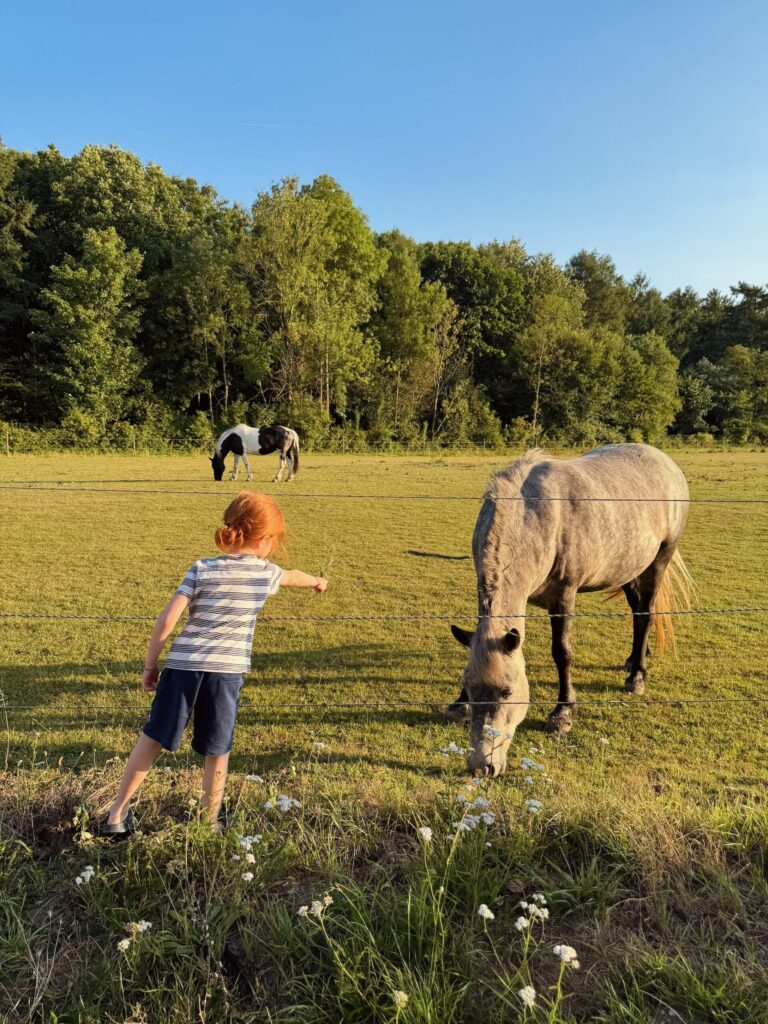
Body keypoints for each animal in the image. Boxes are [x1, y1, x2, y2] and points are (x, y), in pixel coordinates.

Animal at [448, 444, 692, 776]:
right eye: (471, 689)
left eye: (508, 692)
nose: (481, 767)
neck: (535, 516)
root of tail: (663, 459)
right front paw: (459, 704)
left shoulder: (563, 597)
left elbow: (562, 653)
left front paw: (562, 714)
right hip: (629, 568)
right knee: (636, 612)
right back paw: (632, 660)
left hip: (659, 561)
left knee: (645, 615)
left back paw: (637, 677)